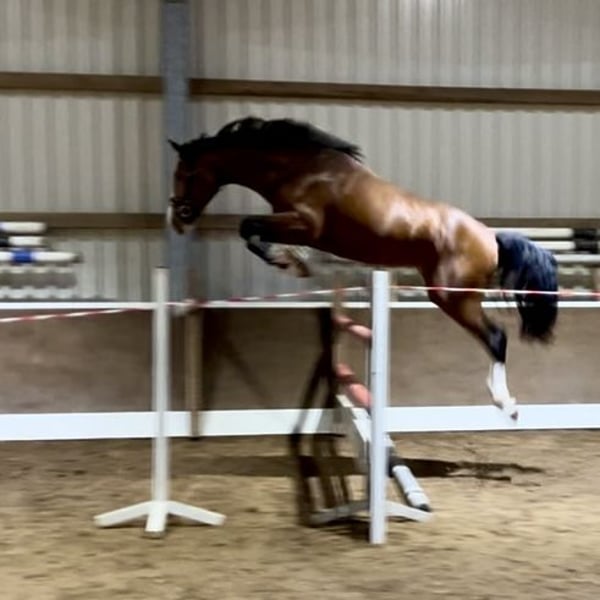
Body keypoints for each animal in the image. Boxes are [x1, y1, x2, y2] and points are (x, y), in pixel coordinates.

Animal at [167, 116, 558, 420]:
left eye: (187, 172)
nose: (178, 218)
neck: (301, 170)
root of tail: (489, 237)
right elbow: (252, 231)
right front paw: (296, 261)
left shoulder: (304, 224)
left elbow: (248, 227)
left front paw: (290, 262)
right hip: (452, 295)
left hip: (452, 296)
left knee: (496, 337)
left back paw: (505, 403)